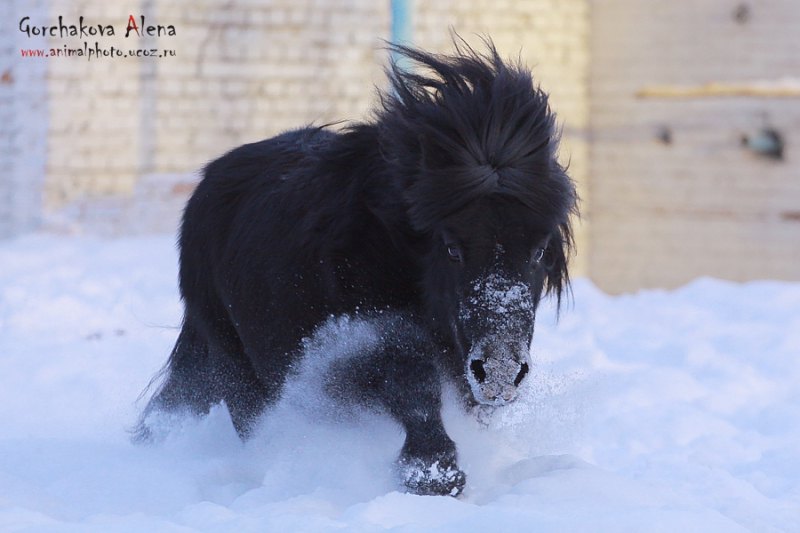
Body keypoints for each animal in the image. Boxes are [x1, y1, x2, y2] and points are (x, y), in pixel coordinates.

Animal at [138, 39, 576, 496]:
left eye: (539, 250)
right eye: (452, 248)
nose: (499, 373)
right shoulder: (372, 337)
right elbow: (413, 386)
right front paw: (434, 474)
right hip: (238, 367)